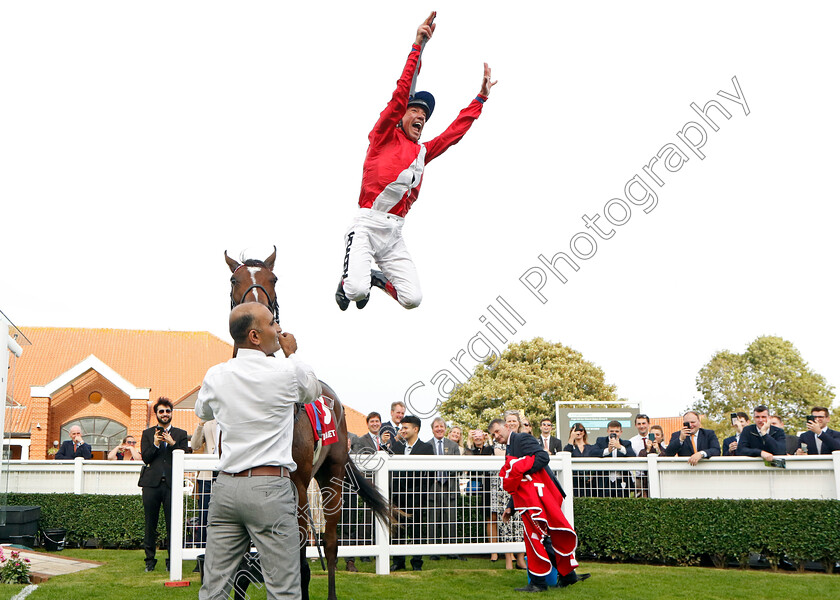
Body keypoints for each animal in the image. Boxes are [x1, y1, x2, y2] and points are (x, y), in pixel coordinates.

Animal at [223, 246, 394, 596]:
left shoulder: (298, 486)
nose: (258, 313)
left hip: (331, 477)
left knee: (329, 543)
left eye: (273, 278)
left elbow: (300, 554)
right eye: (235, 279)